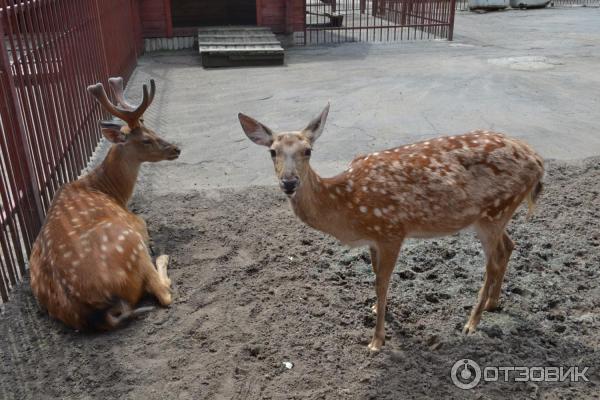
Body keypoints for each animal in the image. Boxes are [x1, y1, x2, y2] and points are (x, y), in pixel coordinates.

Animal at [29, 76, 180, 330]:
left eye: (152, 129)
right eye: (146, 140)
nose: (176, 149)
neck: (111, 191)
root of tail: (96, 311)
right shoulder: (138, 222)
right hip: (130, 242)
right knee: (163, 293)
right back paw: (162, 256)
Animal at [239, 104, 544, 352]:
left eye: (307, 151)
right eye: (272, 152)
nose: (289, 182)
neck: (347, 206)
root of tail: (537, 160)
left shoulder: (391, 230)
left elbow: (382, 282)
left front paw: (376, 341)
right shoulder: (374, 238)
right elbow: (376, 277)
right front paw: (376, 308)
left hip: (494, 211)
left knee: (492, 262)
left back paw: (471, 322)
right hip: (495, 215)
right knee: (509, 246)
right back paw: (493, 303)